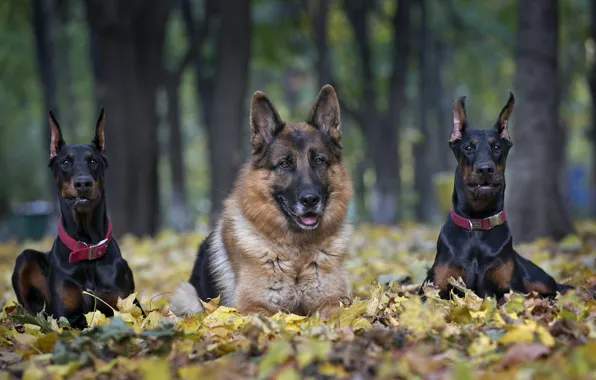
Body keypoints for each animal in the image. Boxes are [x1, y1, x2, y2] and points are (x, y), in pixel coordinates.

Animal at [11, 110, 137, 330]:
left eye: (93, 161)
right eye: (65, 162)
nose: (83, 183)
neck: (86, 248)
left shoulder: (126, 306)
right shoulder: (66, 316)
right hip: (24, 258)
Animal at [170, 85, 352, 318]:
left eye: (319, 160)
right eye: (284, 164)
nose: (310, 199)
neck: (296, 255)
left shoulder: (333, 301)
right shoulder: (254, 307)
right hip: (186, 296)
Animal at [422, 93, 572, 300]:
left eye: (496, 147)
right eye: (468, 148)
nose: (485, 169)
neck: (477, 224)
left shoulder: (511, 288)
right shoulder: (433, 287)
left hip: (537, 279)